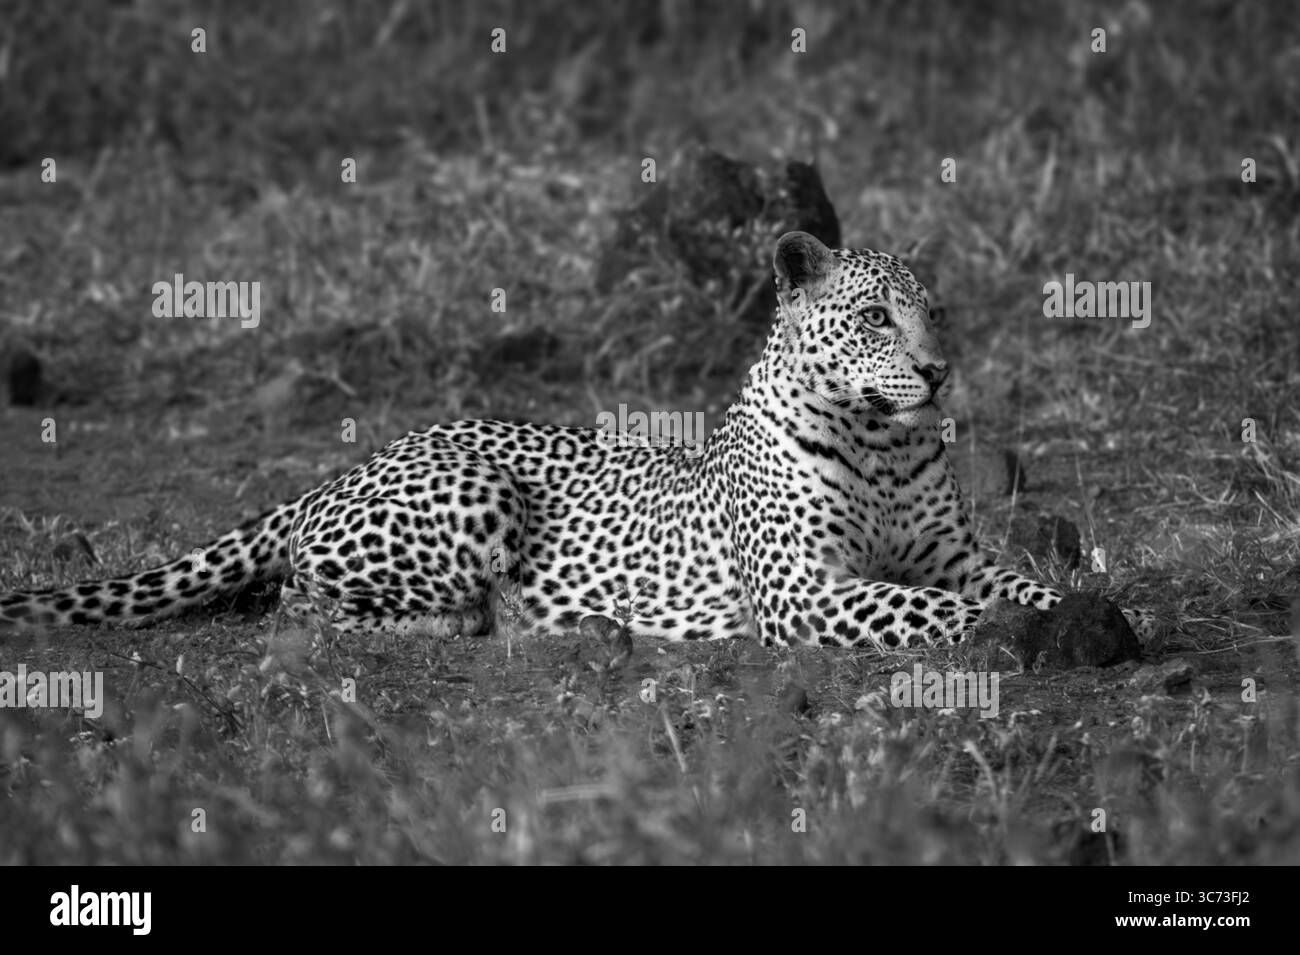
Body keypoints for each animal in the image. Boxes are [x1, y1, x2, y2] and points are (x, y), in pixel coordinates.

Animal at [0, 231, 1152, 650]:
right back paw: (485, 621)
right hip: (475, 496)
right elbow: (934, 609)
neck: (881, 443)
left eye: (938, 314)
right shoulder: (802, 592)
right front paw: (1018, 633)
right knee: (303, 604)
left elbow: (1013, 582)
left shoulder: (954, 553)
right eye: (874, 316)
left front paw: (1094, 613)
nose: (939, 372)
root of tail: (347, 467)